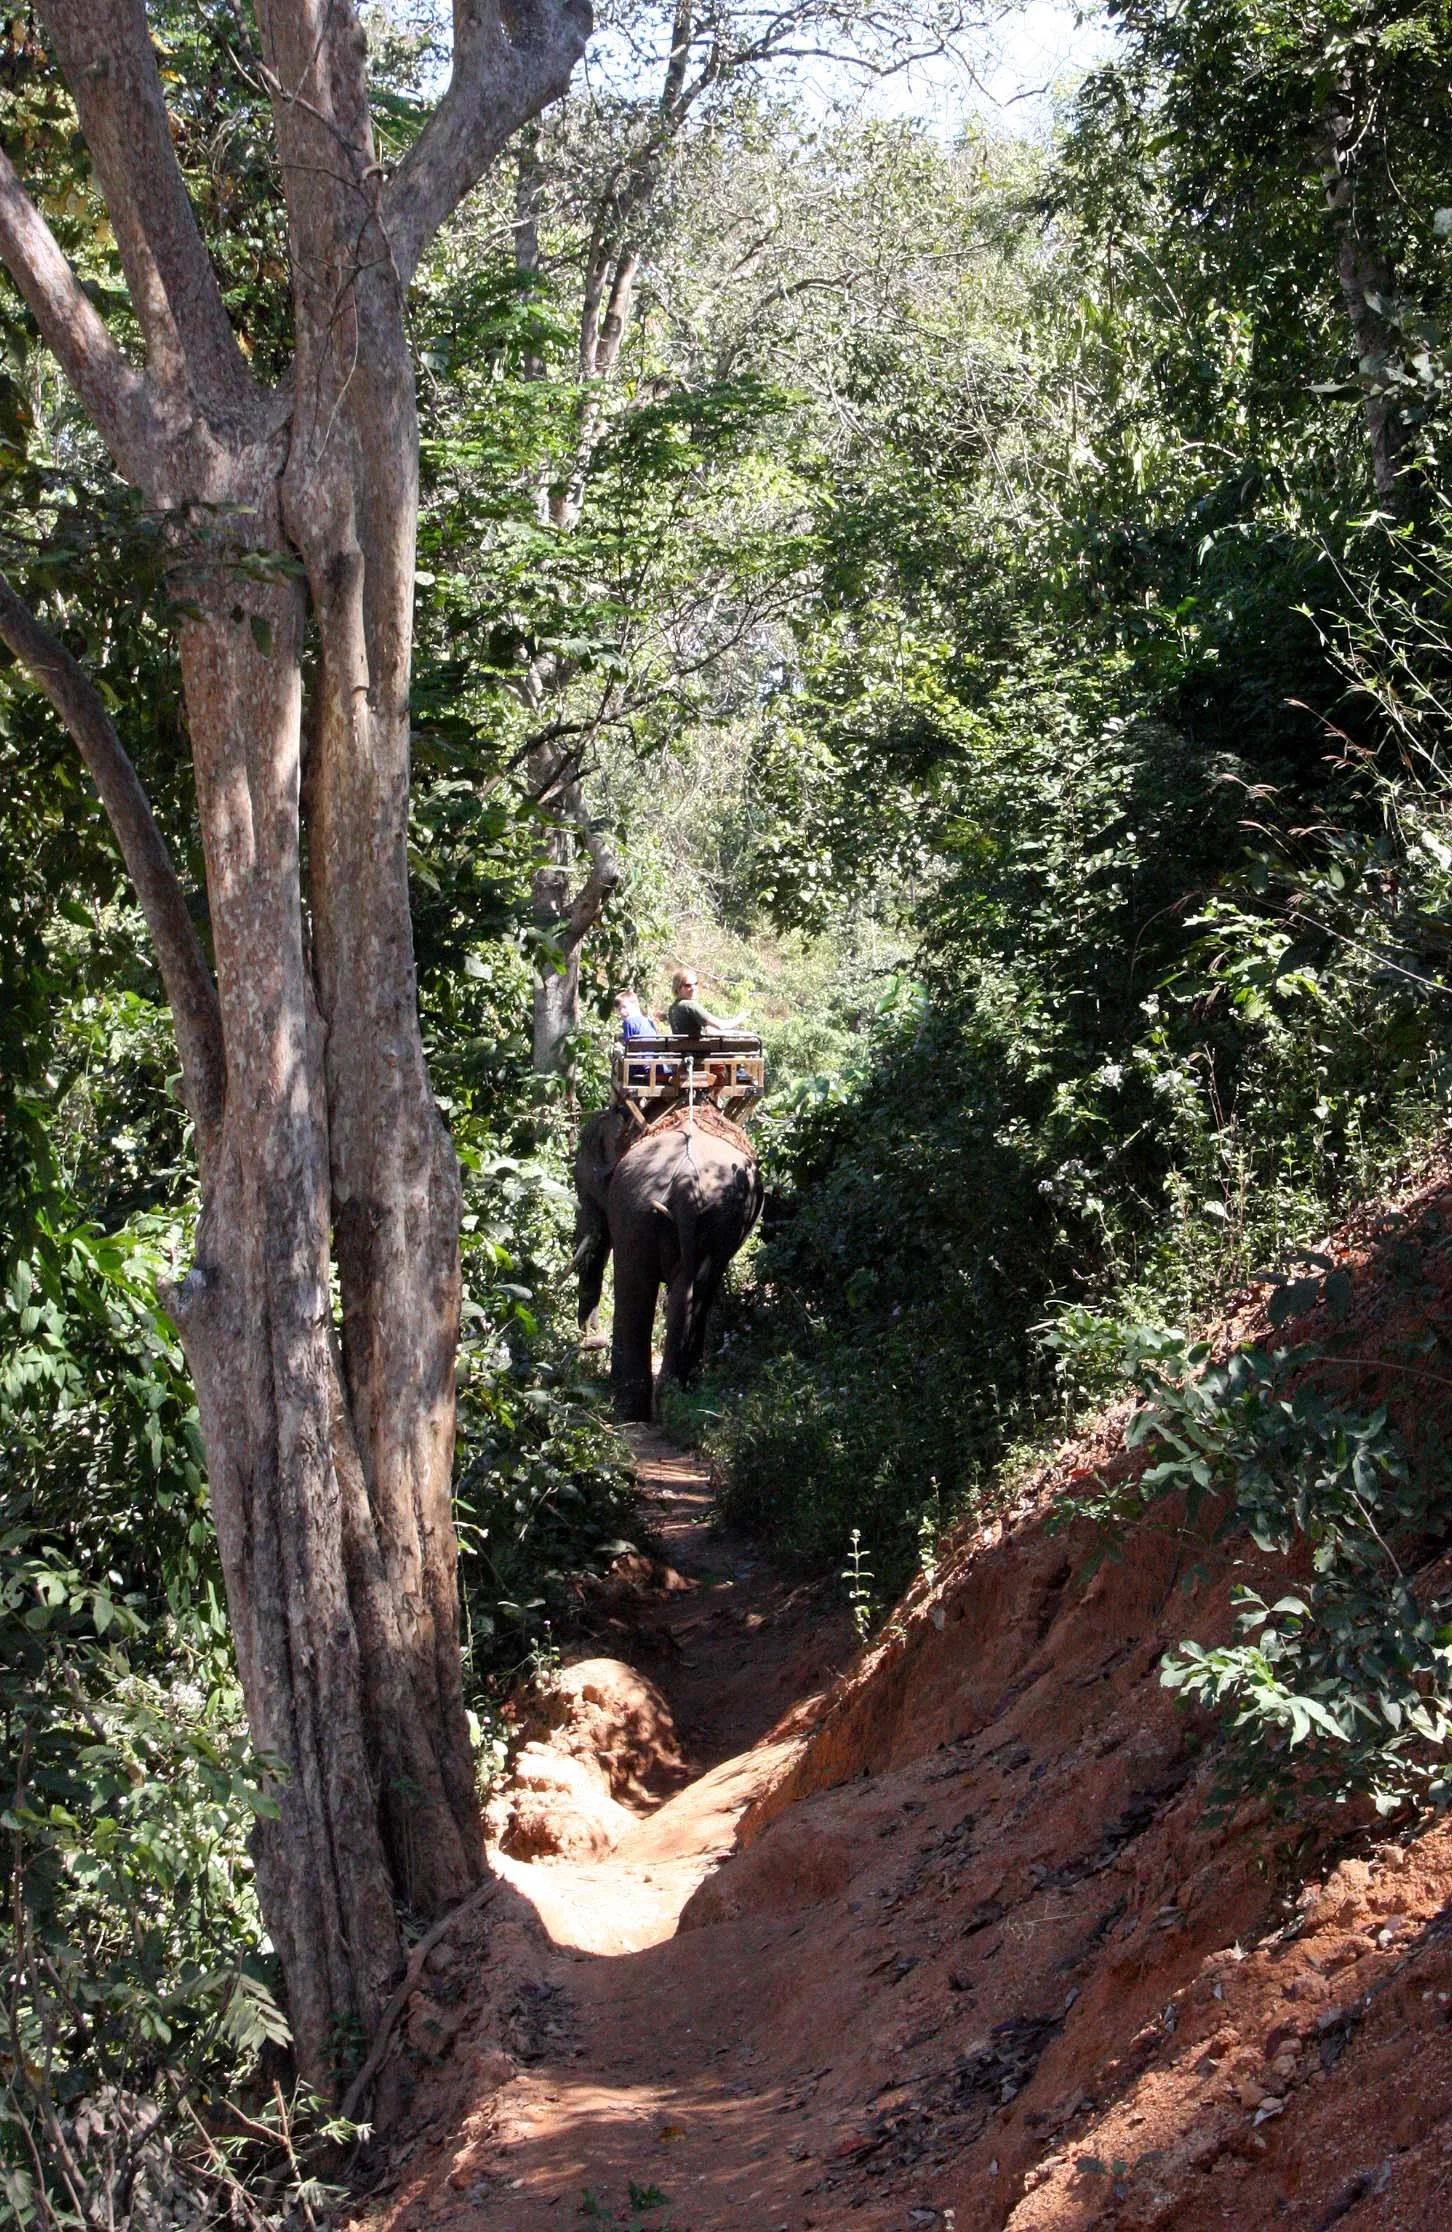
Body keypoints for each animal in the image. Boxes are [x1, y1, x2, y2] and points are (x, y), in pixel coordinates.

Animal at [572, 1103, 764, 1421]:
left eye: (581, 1184)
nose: (590, 1341)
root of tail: (686, 1179)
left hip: (636, 1209)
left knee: (637, 1288)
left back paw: (630, 1410)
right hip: (715, 1216)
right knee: (693, 1291)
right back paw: (673, 1404)